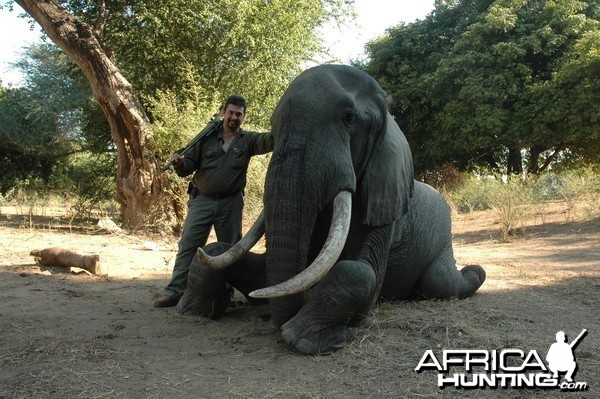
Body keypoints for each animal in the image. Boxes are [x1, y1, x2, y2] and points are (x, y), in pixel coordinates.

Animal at [176, 64, 486, 354]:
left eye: (349, 119)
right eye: (273, 128)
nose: (272, 320)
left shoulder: (386, 197)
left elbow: (361, 273)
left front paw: (301, 339)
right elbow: (256, 269)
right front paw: (191, 311)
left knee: (441, 284)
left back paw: (475, 271)